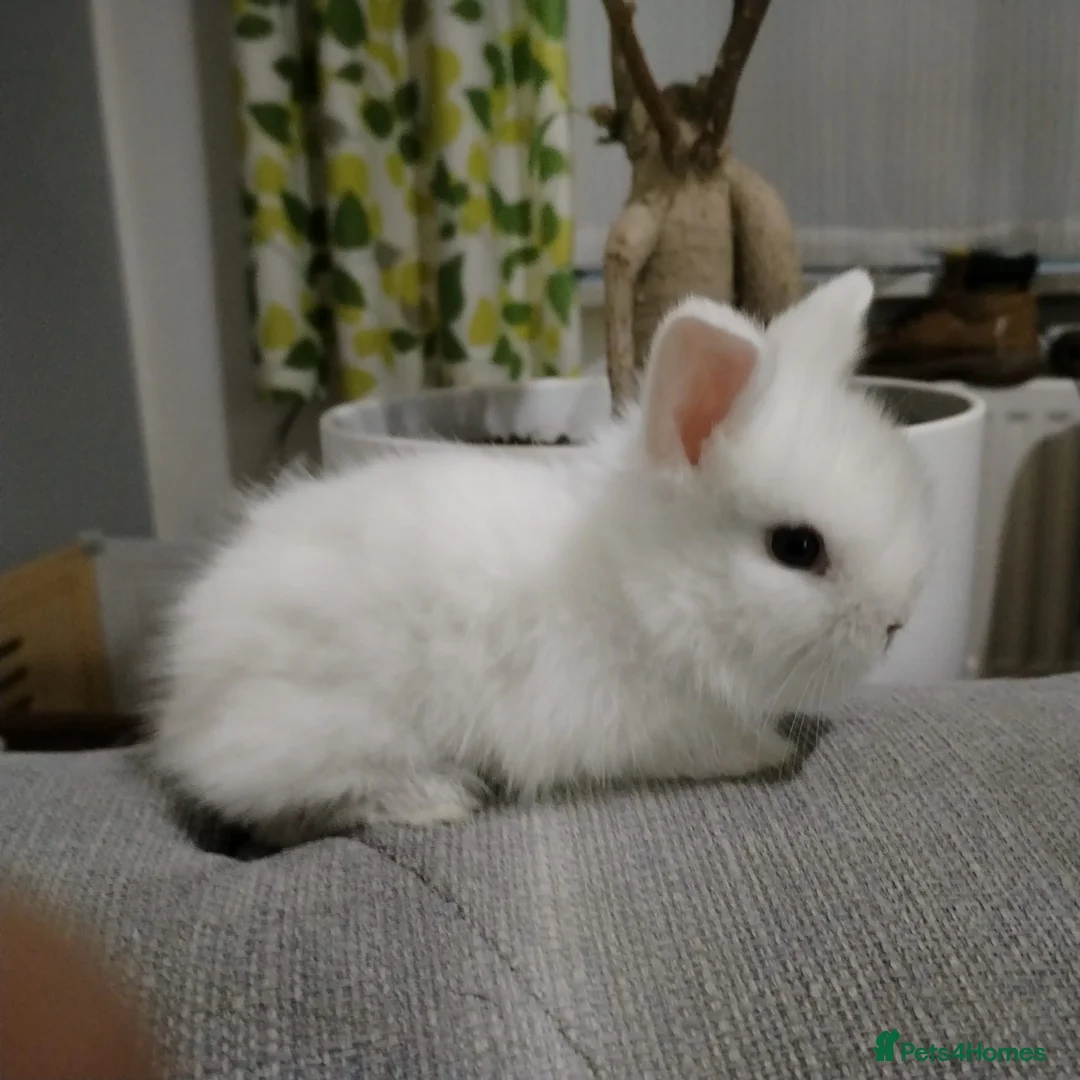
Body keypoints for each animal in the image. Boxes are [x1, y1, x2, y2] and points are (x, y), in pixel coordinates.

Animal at [151, 269, 932, 844]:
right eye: (796, 548)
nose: (896, 625)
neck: (635, 584)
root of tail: (188, 693)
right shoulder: (646, 725)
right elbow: (714, 744)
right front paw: (770, 752)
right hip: (334, 729)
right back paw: (437, 798)